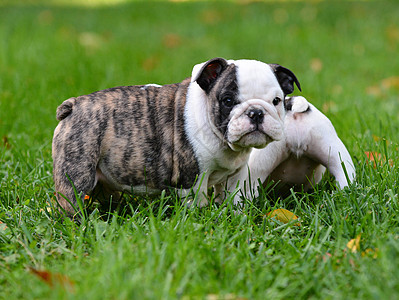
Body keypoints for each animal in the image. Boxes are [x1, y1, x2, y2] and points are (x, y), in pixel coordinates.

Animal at [52, 57, 300, 216]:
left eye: (276, 101)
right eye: (228, 100)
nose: (256, 112)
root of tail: (74, 105)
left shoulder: (235, 175)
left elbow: (235, 198)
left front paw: (234, 215)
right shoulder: (193, 180)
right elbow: (197, 202)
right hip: (76, 172)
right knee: (70, 201)